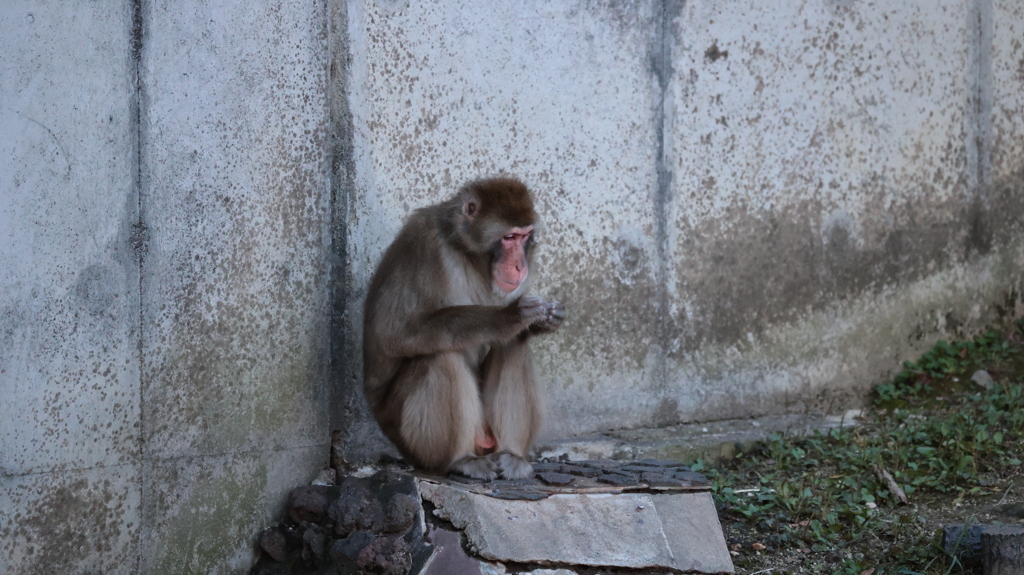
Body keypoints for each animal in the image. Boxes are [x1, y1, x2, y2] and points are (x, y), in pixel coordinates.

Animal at [362, 175, 569, 478]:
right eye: (508, 238)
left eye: (524, 236)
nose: (520, 266)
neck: (468, 252)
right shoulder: (423, 244)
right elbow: (393, 332)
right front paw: (509, 317)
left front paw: (547, 318)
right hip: (411, 440)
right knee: (442, 355)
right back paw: (461, 460)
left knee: (513, 344)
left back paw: (512, 455)